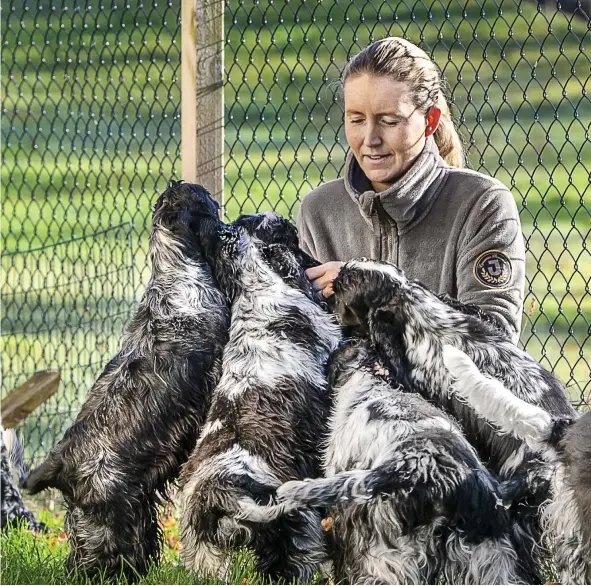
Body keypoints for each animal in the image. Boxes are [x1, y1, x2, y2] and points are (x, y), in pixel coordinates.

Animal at [178, 210, 340, 580]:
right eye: (292, 238)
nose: (317, 263)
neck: (257, 288)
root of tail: (224, 497)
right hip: (298, 529)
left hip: (205, 555)